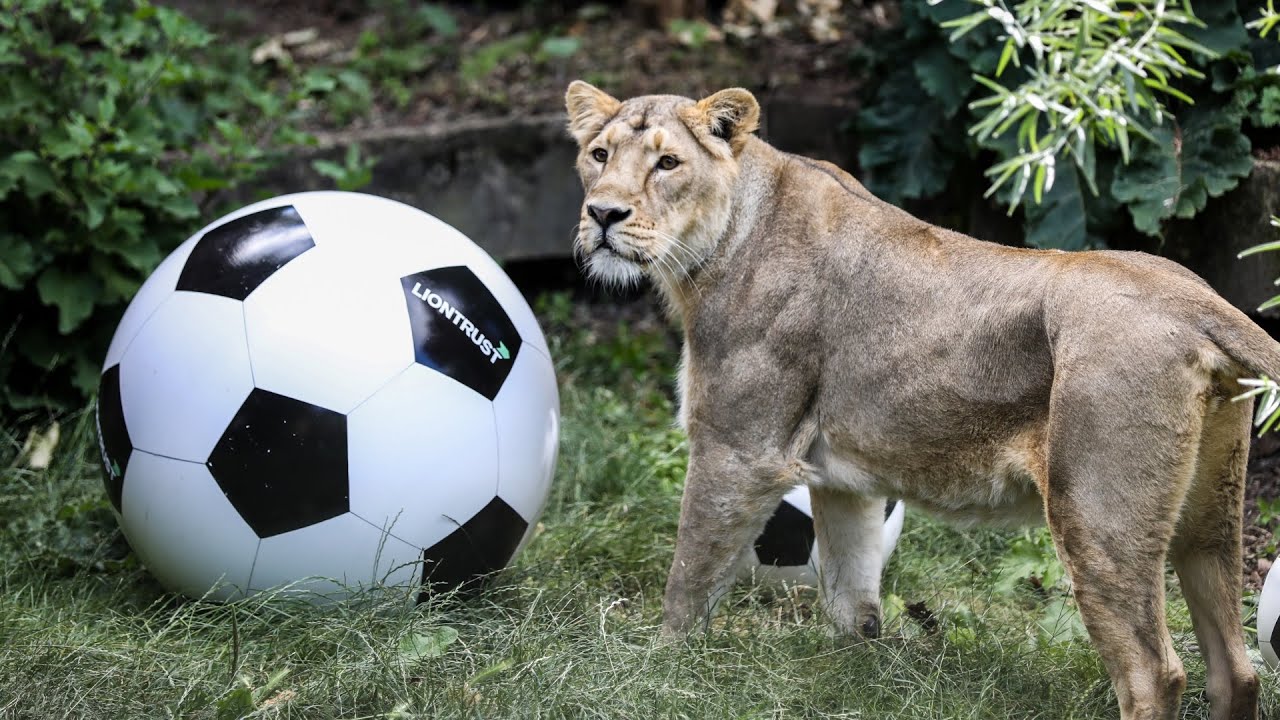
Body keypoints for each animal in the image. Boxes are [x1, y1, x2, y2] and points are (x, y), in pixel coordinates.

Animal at [564, 80, 1270, 720]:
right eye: (598, 155)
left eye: (668, 163)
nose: (603, 215)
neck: (715, 246)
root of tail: (1199, 301)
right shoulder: (841, 481)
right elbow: (853, 601)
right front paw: (851, 682)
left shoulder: (740, 451)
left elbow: (690, 577)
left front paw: (658, 671)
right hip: (1207, 514)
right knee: (1236, 669)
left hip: (1096, 514)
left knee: (1154, 674)